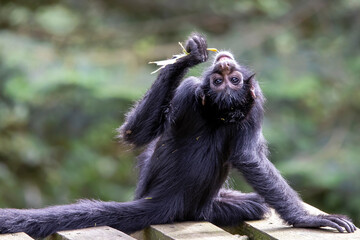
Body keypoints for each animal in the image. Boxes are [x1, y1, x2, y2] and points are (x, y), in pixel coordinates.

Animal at [0, 33, 356, 238]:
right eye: (220, 81)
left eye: (233, 81)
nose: (224, 66)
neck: (217, 110)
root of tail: (167, 199)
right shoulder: (248, 105)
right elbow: (249, 157)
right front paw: (191, 56)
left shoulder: (191, 91)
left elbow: (135, 135)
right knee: (255, 203)